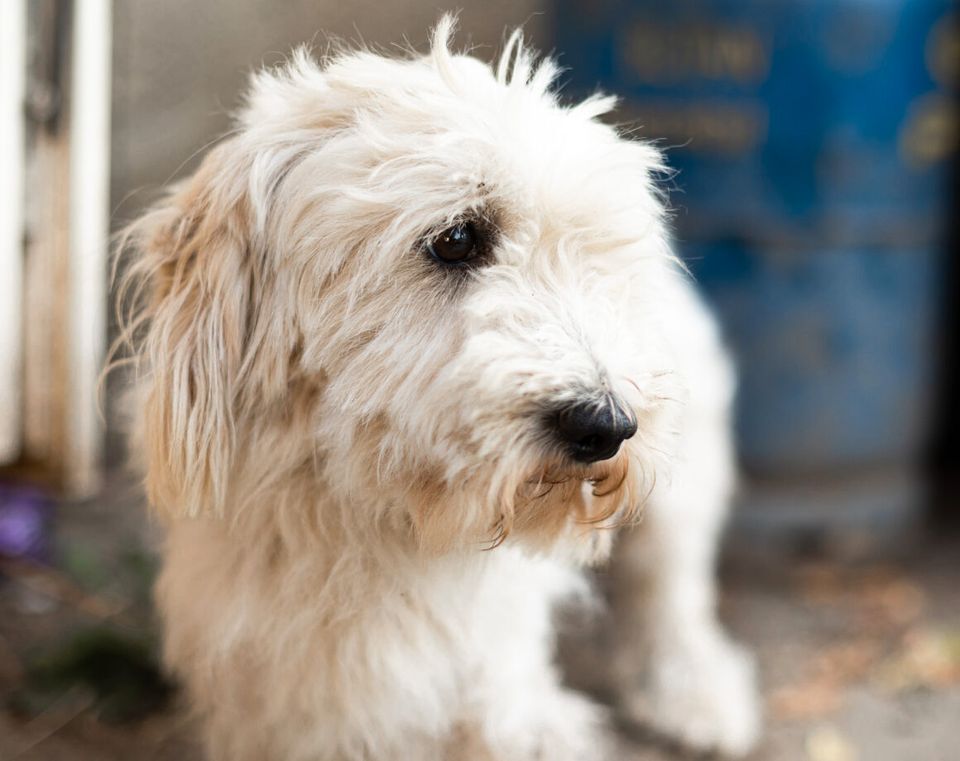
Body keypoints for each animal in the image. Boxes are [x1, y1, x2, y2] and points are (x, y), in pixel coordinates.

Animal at [120, 17, 760, 760]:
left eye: (590, 256)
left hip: (679, 473)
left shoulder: (497, 688)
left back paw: (695, 693)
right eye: (456, 238)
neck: (377, 518)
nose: (605, 425)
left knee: (668, 586)